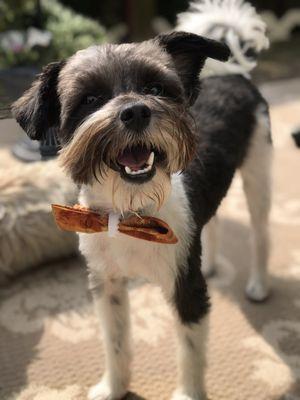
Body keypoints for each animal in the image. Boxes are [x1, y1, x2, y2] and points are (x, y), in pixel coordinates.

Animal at [12, 3, 272, 400]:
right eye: (90, 100)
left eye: (154, 88)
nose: (136, 111)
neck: (130, 214)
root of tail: (235, 75)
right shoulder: (107, 285)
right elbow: (115, 342)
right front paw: (113, 388)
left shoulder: (187, 288)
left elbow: (190, 353)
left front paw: (188, 394)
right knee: (211, 223)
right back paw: (213, 264)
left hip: (258, 175)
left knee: (259, 234)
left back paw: (258, 284)